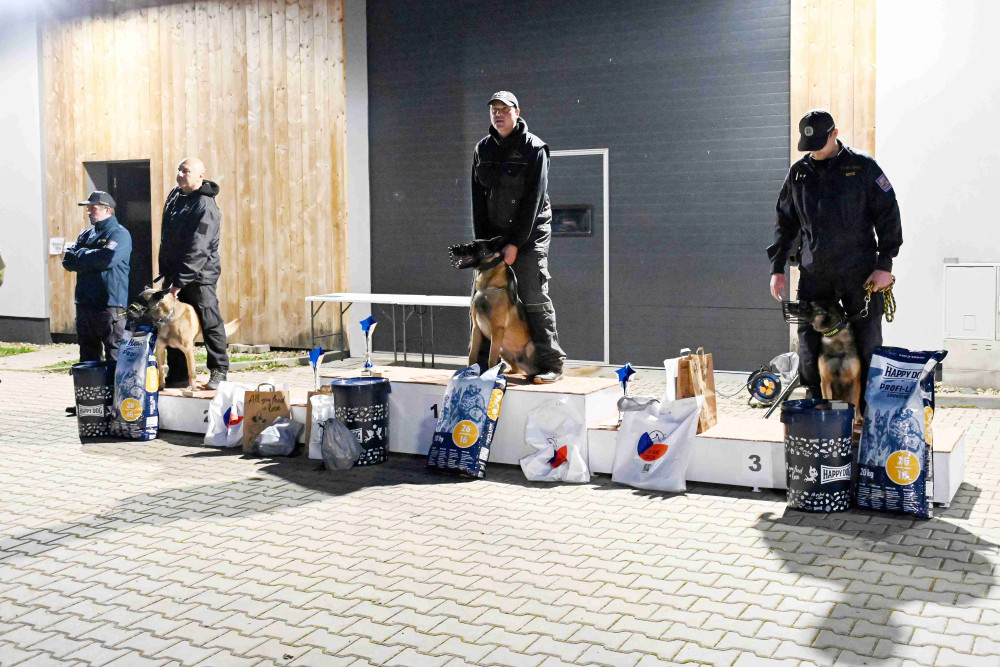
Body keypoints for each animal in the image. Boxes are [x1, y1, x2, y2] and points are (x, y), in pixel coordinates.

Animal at [449, 238, 536, 377]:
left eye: (473, 245)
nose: (452, 248)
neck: (489, 288)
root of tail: (526, 368)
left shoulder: (497, 331)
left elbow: (491, 359)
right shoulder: (476, 329)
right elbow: (472, 356)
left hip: (528, 346)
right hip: (503, 350)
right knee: (516, 368)